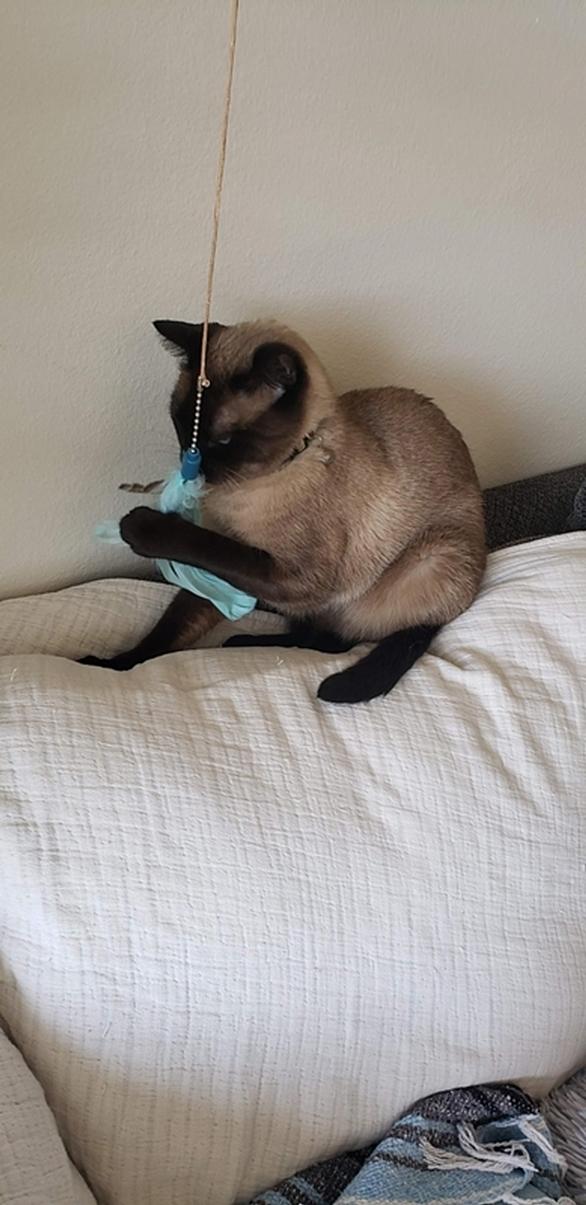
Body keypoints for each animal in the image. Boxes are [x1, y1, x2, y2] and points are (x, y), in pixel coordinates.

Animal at [82, 320, 486, 704]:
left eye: (222, 441)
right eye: (181, 426)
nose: (189, 467)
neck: (242, 490)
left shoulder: (292, 576)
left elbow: (207, 546)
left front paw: (138, 527)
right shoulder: (227, 577)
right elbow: (169, 629)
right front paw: (114, 665)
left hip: (430, 559)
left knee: (341, 643)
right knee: (312, 637)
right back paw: (240, 642)